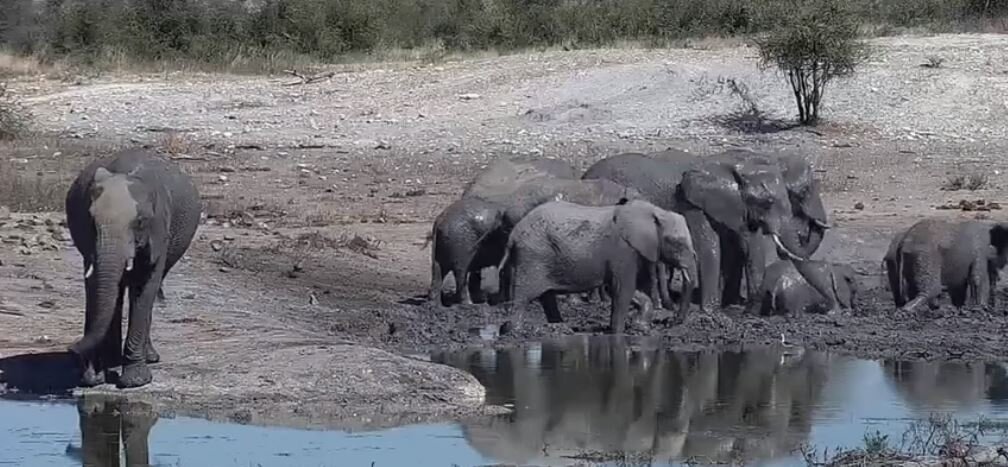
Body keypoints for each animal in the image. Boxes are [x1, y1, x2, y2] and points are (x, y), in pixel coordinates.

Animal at [65, 149, 202, 387]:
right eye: (91, 220)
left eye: (140, 222)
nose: (71, 348)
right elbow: (95, 285)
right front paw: (96, 375)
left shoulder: (159, 231)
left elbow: (144, 286)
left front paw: (135, 381)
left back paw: (148, 358)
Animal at [493, 199, 693, 334]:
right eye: (677, 243)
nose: (670, 322)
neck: (655, 211)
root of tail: (512, 235)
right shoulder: (623, 250)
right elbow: (623, 289)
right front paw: (618, 332)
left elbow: (621, 289)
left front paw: (639, 328)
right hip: (532, 256)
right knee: (523, 296)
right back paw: (514, 332)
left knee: (546, 297)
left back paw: (560, 327)